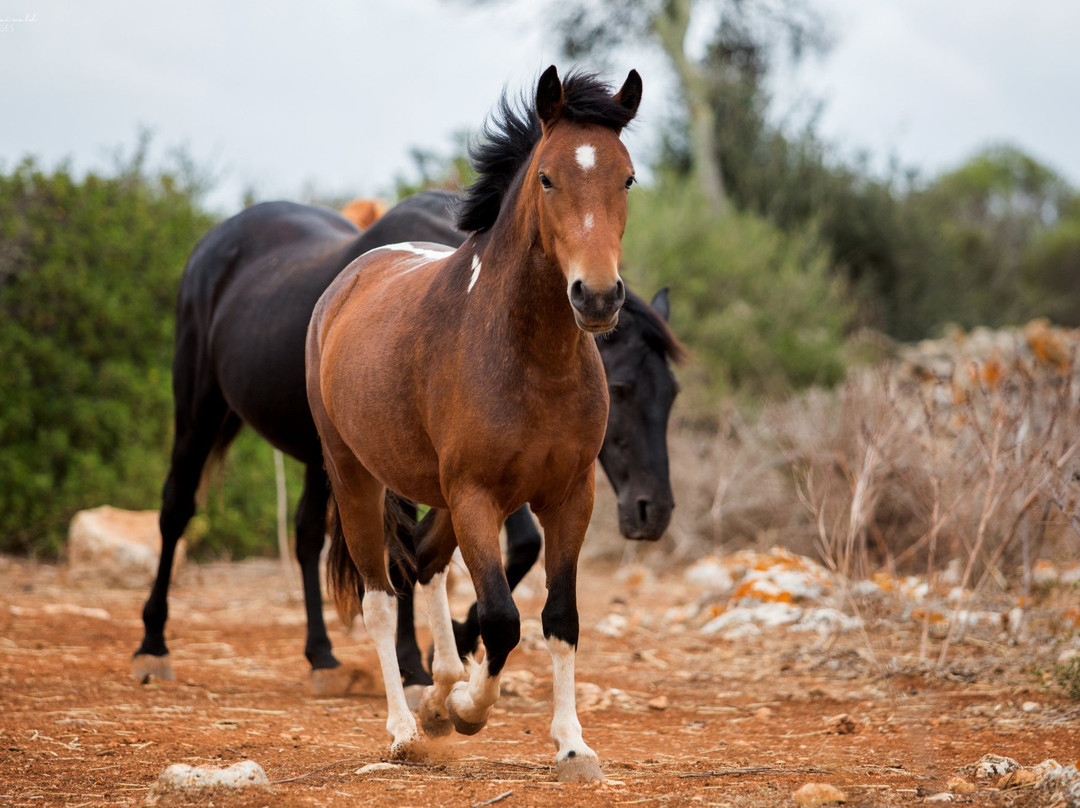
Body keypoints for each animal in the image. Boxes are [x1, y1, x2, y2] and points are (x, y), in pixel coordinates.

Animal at [130, 191, 678, 695]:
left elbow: (498, 546)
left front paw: (453, 639)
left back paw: (322, 656)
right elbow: (412, 551)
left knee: (306, 535)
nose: (653, 511)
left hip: (324, 455)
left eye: (672, 392)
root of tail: (214, 241)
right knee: (176, 509)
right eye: (622, 387)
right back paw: (152, 646)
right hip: (200, 411)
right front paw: (421, 660)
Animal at [304, 66, 639, 777]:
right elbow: (502, 617)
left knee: (427, 564)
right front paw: (465, 712)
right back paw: (407, 728)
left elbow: (560, 618)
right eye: (548, 178)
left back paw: (439, 689)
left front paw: (572, 744)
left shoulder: (570, 496)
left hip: (445, 497)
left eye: (626, 177)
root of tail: (349, 278)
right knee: (381, 597)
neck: (532, 359)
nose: (598, 297)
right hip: (356, 477)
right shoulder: (478, 495)